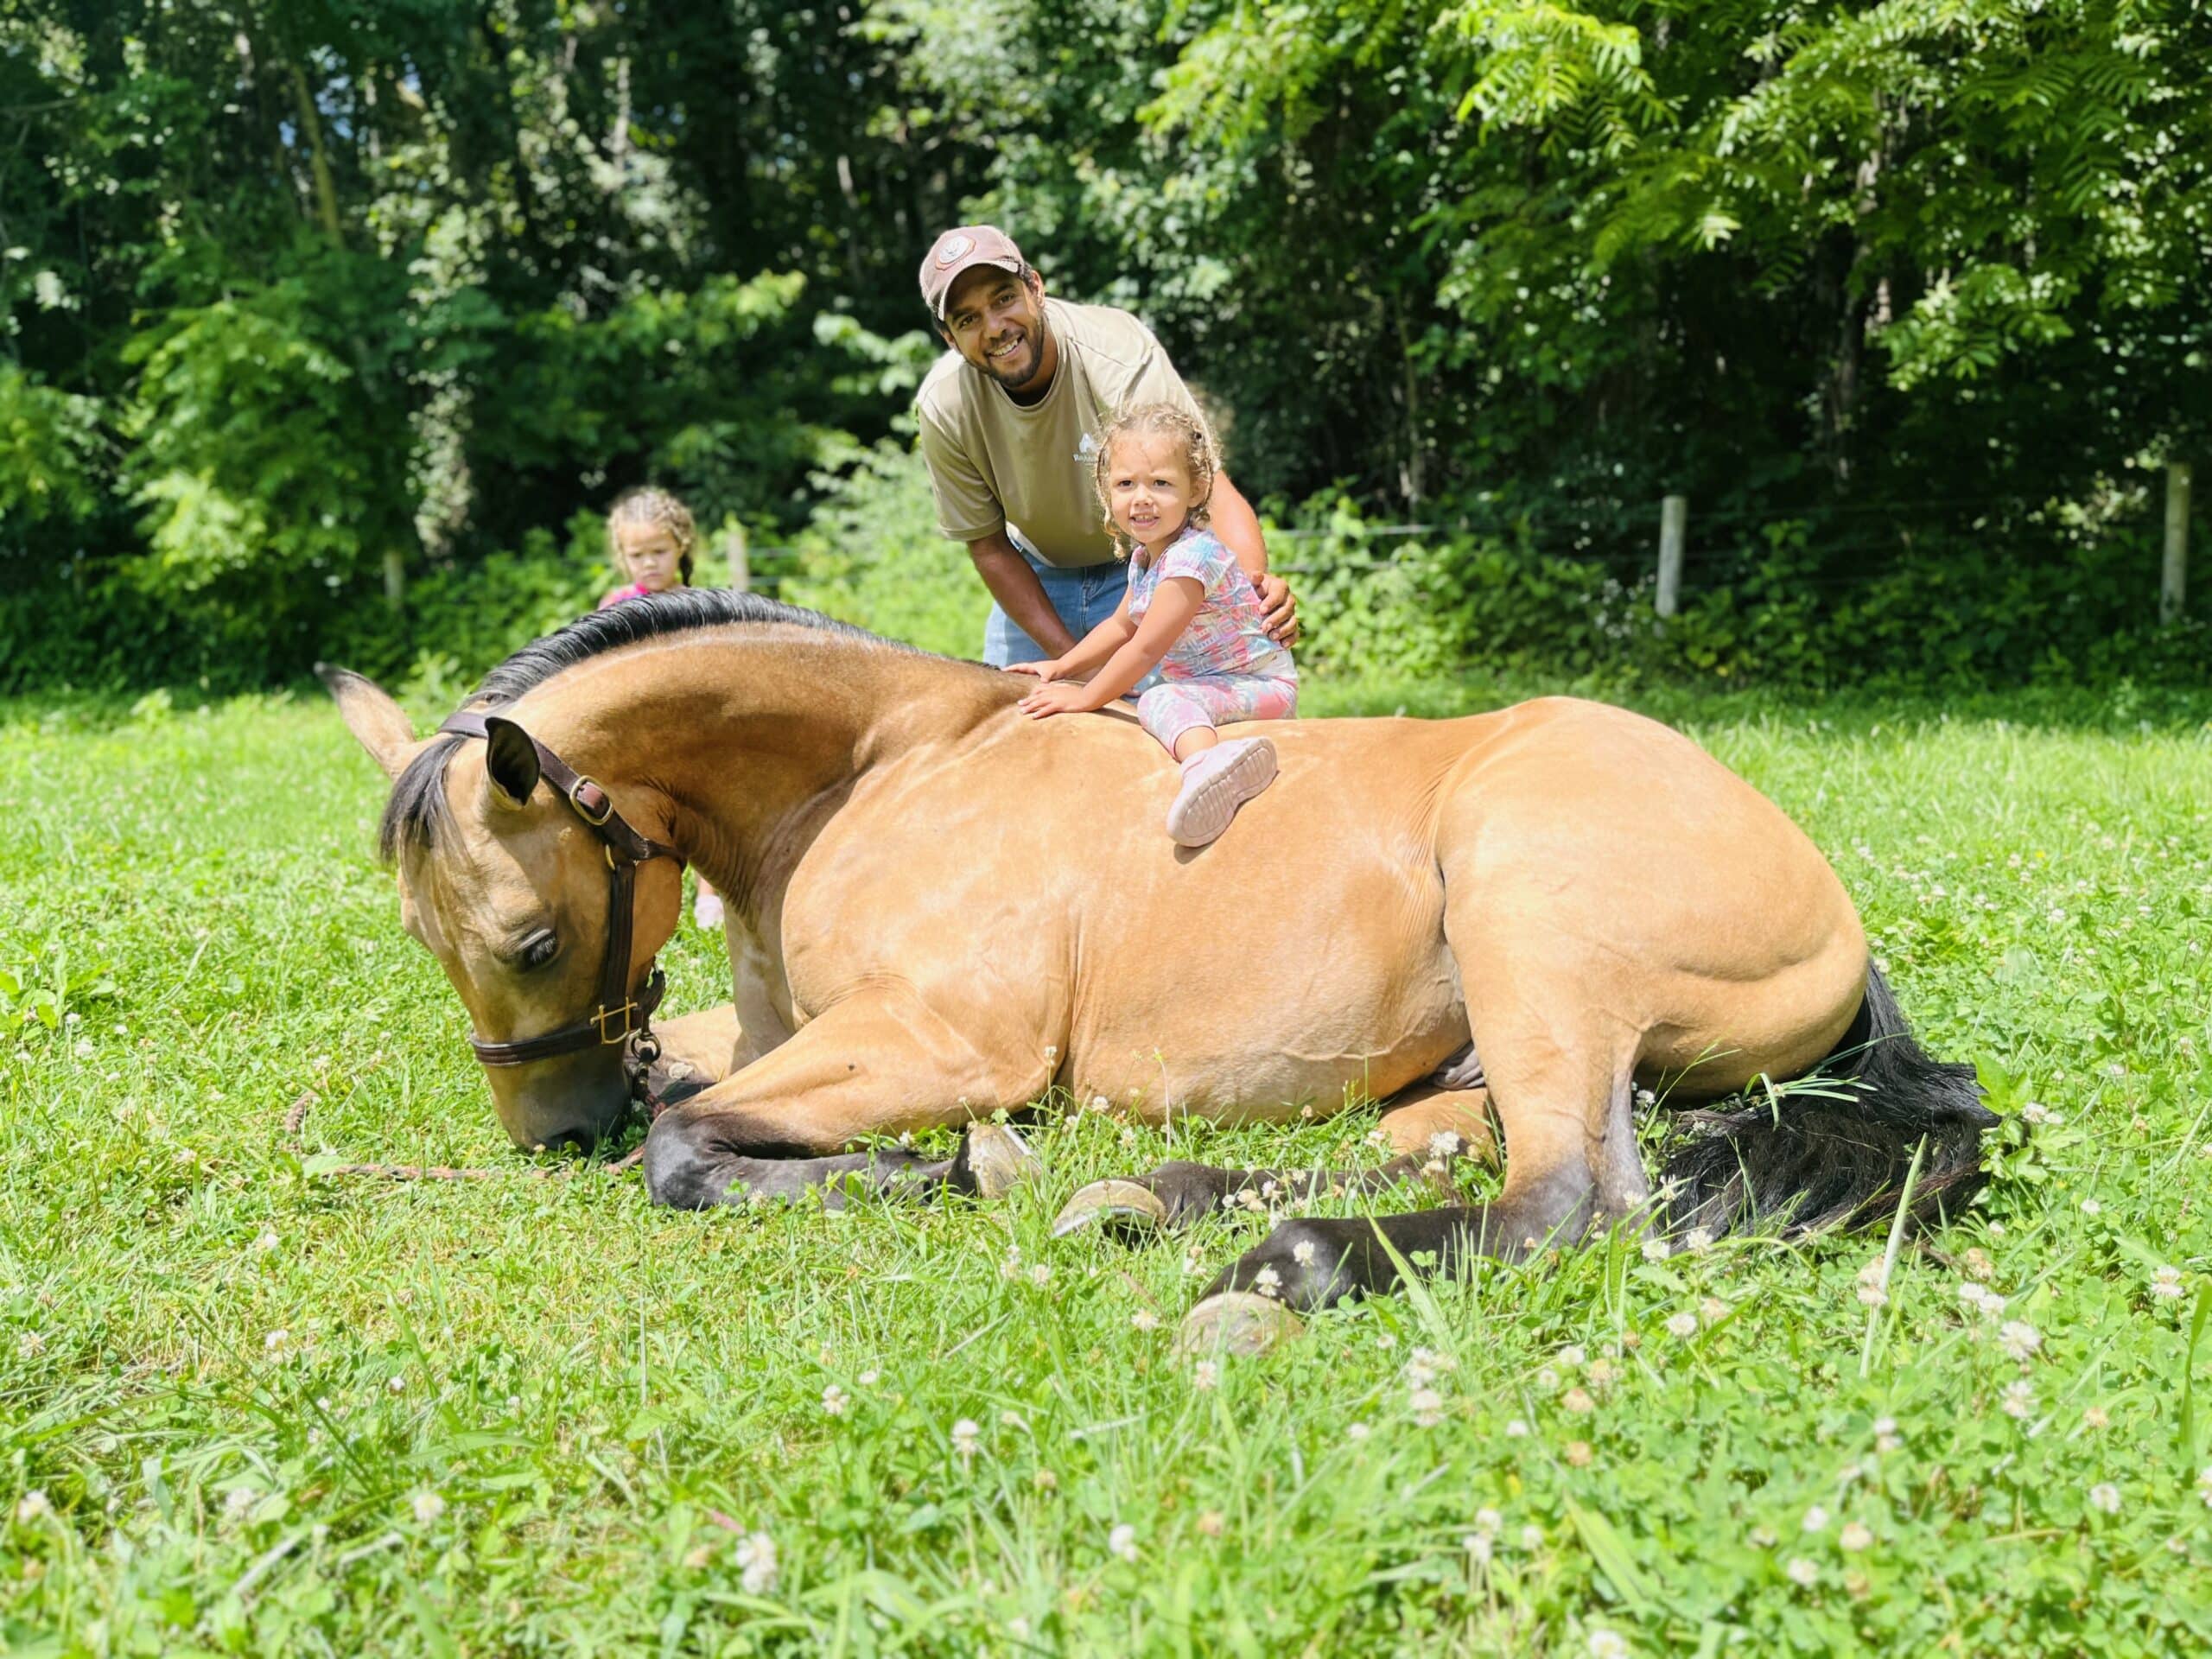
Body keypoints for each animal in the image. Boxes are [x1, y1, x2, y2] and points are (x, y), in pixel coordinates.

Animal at [322, 589, 1994, 1352]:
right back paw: (1147, 1197)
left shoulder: (946, 1042)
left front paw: (932, 1172)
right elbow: (689, 1090)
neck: (870, 779)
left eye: (533, 942)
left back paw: (1265, 1272)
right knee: (1438, 1152)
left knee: (1567, 1201)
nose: (554, 1136)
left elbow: (680, 1147)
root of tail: (1827, 903)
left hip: (1530, 918)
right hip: (1474, 1055)